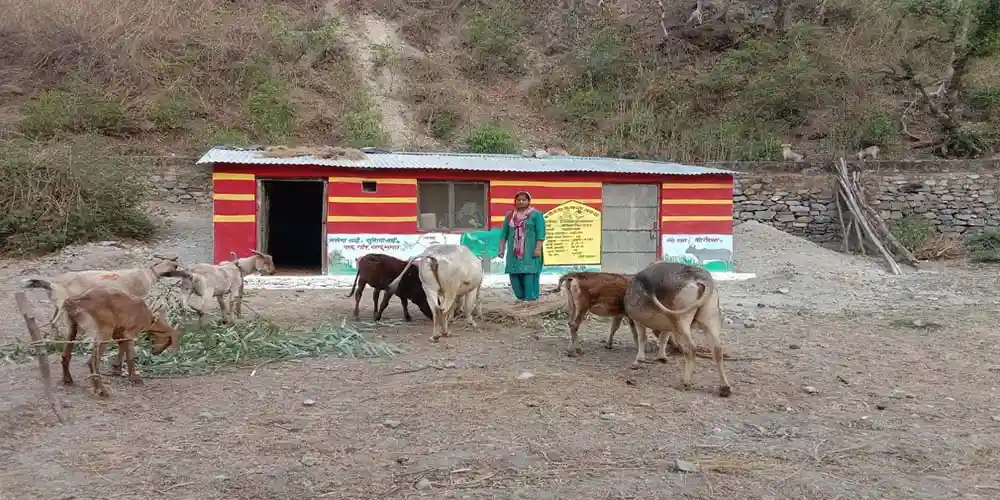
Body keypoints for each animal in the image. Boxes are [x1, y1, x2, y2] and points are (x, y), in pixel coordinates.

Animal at [20, 255, 182, 336]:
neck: (149, 274)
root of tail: (52, 283)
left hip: (59, 306)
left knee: (53, 321)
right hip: (63, 306)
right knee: (55, 323)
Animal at [625, 261, 732, 397]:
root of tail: (703, 278)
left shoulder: (638, 321)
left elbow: (642, 338)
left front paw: (639, 360)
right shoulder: (667, 326)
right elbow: (663, 338)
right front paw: (661, 357)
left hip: (681, 320)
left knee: (691, 348)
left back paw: (686, 382)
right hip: (711, 320)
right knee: (717, 349)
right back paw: (725, 387)